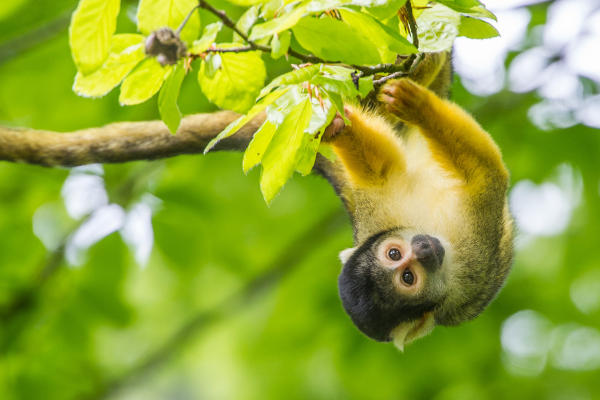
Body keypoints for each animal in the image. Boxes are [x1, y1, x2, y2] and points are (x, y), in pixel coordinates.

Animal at [322, 54, 512, 350]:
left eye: (393, 253)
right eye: (408, 277)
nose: (422, 248)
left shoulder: (379, 217)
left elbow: (381, 170)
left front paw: (337, 128)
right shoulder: (474, 260)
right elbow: (487, 173)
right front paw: (420, 108)